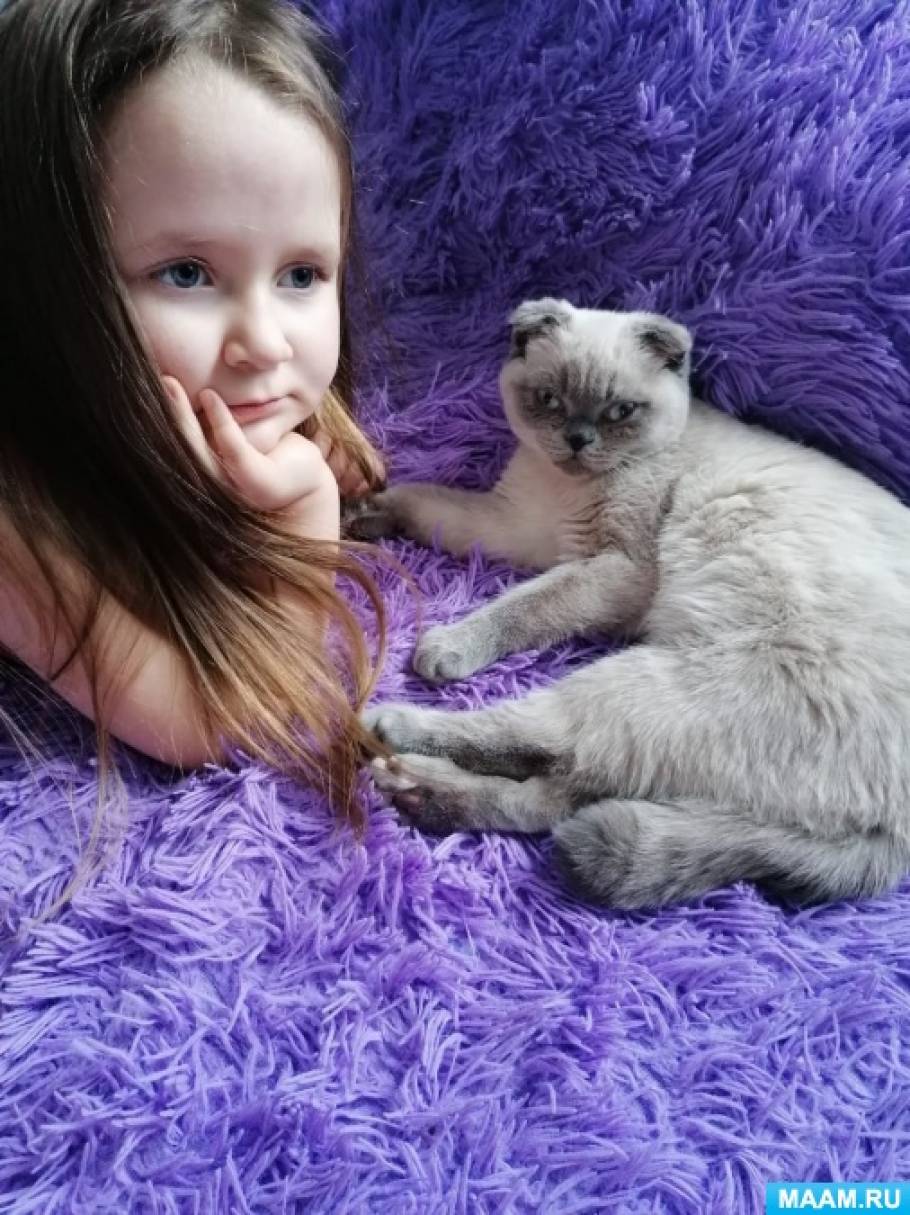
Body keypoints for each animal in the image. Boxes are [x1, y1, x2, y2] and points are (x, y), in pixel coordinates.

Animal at [350, 298, 910, 908]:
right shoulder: (517, 527)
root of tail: (894, 839)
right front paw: (364, 514)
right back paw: (415, 790)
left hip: (642, 685)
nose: (578, 440)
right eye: (549, 399)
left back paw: (391, 736)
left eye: (620, 411)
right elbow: (431, 506)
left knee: (545, 747)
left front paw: (445, 646)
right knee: (550, 800)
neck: (564, 488)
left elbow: (524, 606)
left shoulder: (617, 568)